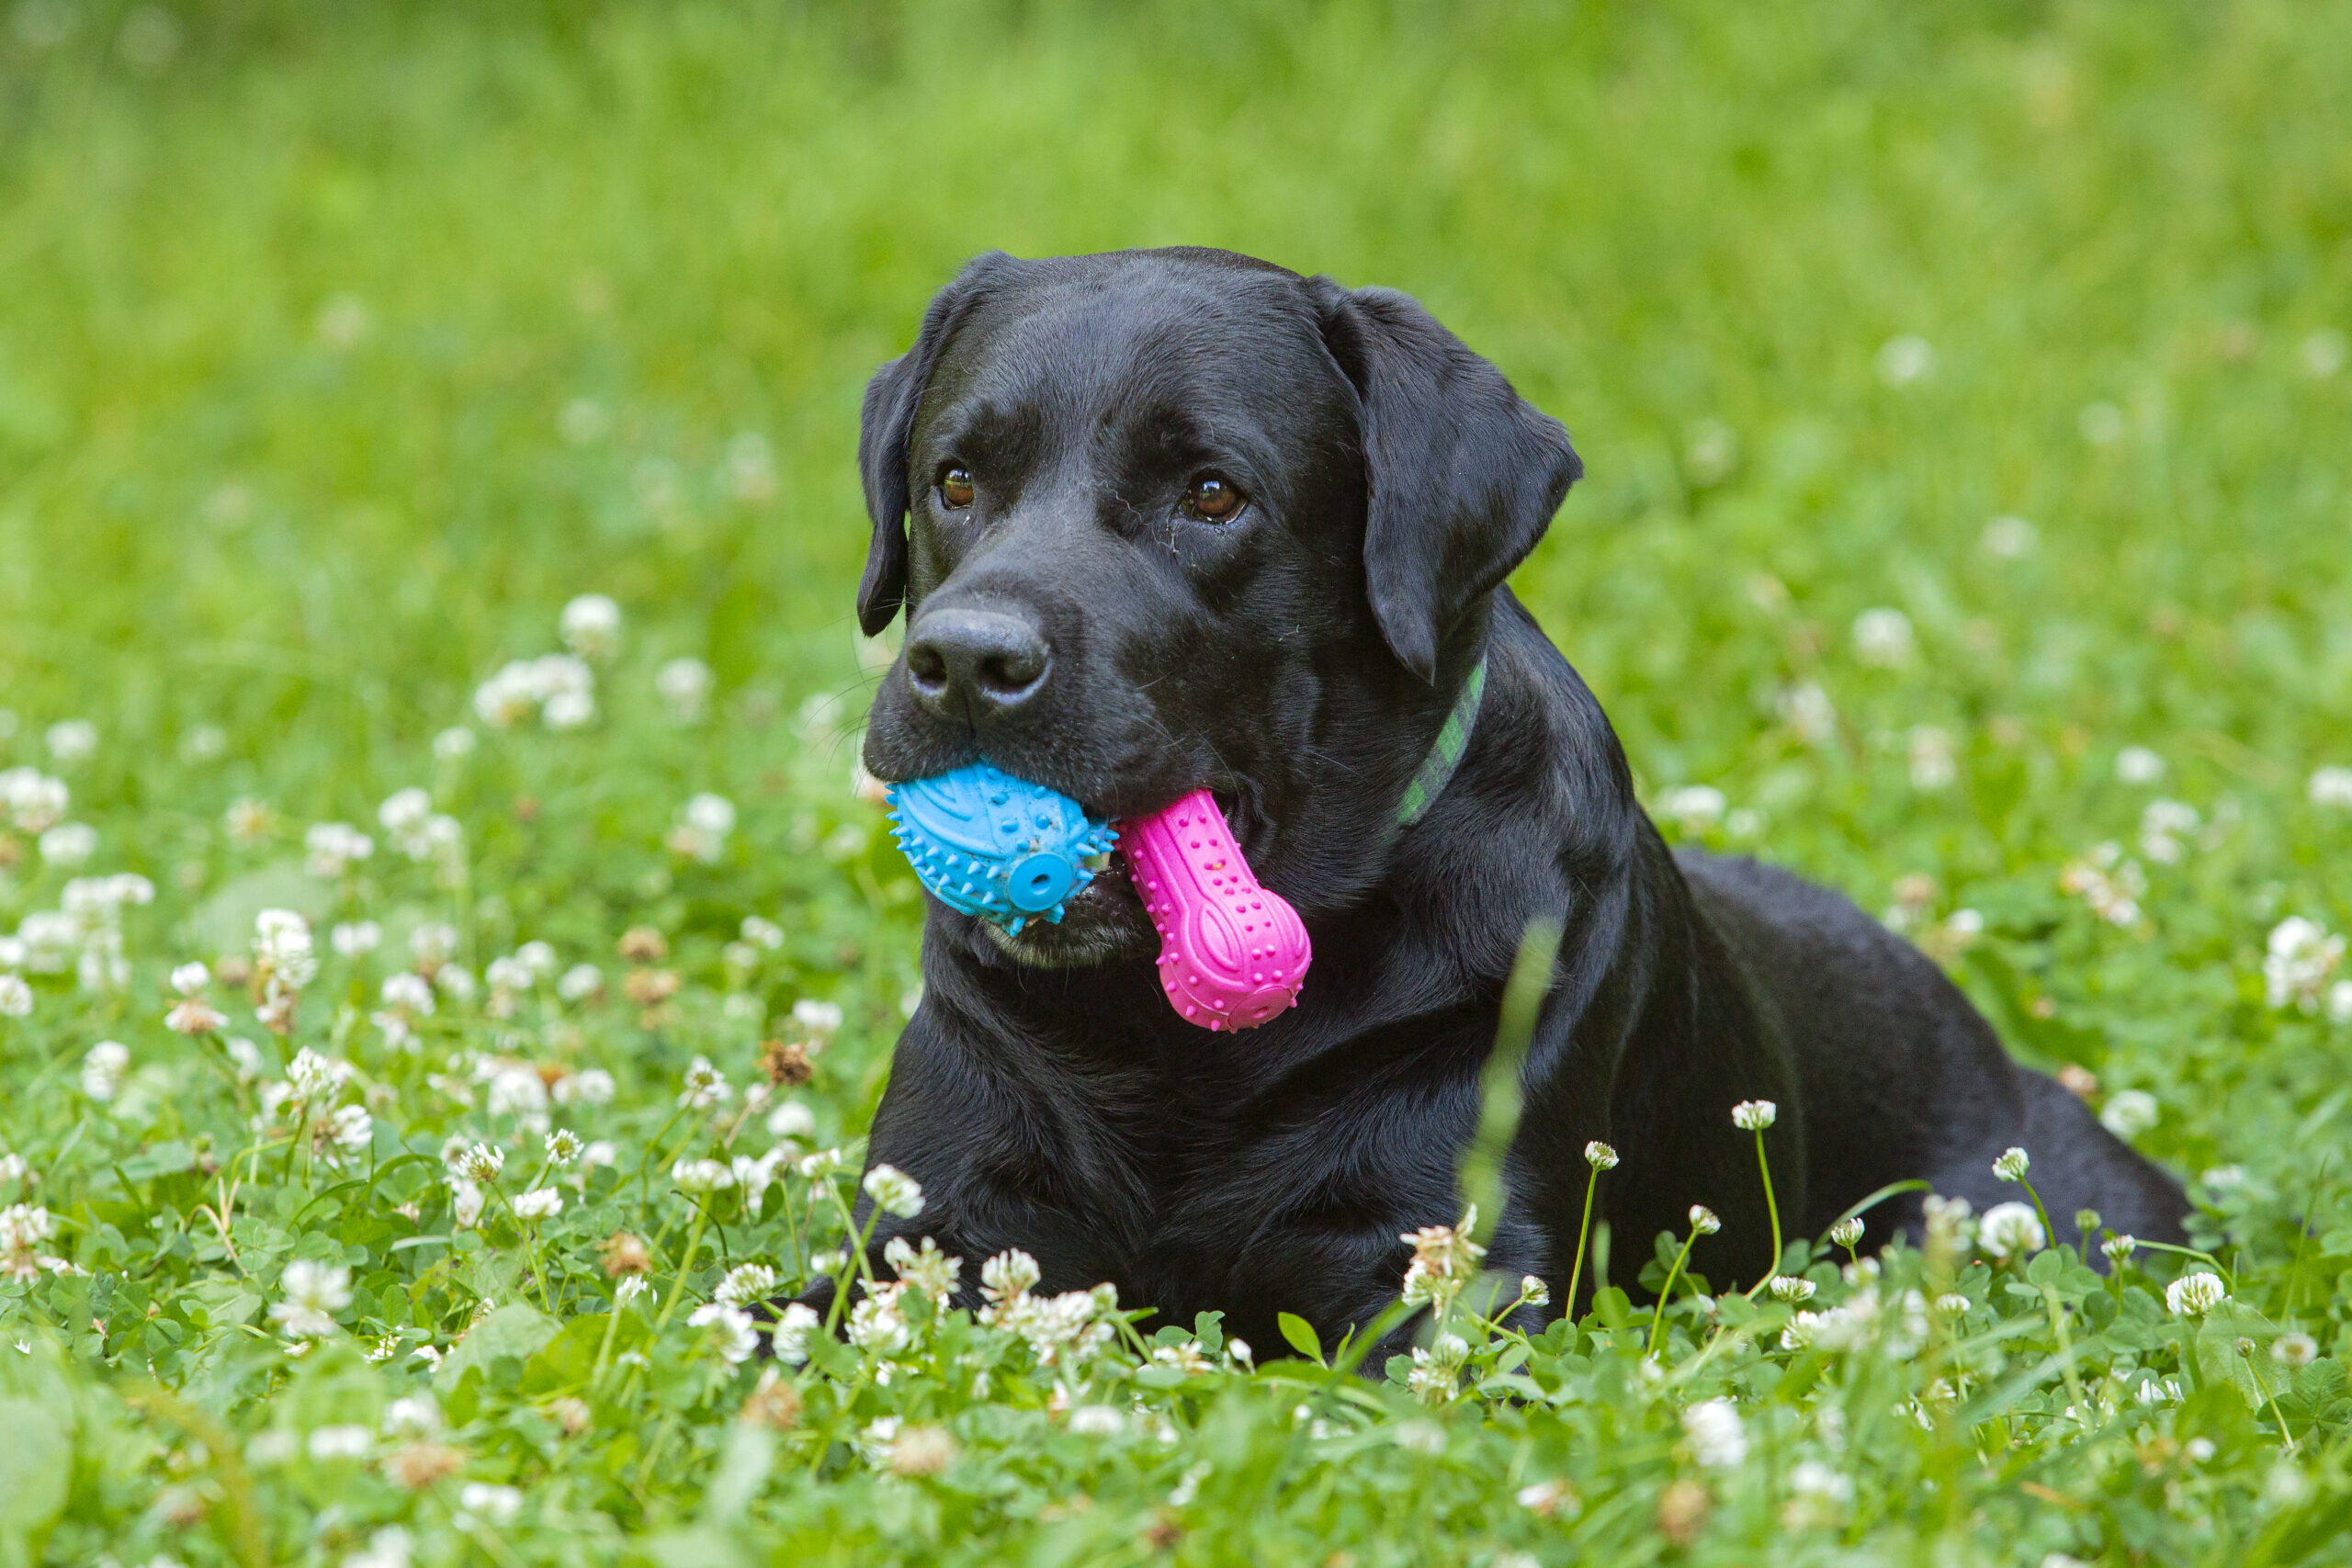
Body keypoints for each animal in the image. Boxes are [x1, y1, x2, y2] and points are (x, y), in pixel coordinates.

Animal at [818, 247, 2191, 1363]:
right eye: (954, 481)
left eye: (1210, 493)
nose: (964, 662)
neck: (1177, 1049)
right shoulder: (933, 1230)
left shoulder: (1440, 1267)